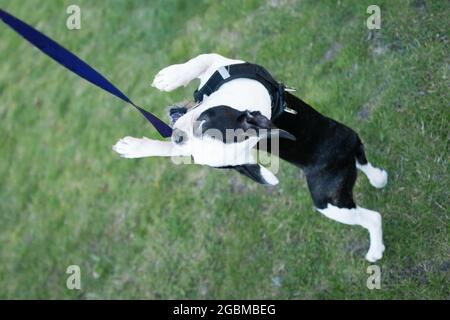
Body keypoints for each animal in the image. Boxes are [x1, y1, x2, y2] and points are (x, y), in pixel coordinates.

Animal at [112, 53, 386, 262]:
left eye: (204, 124)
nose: (178, 136)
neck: (241, 102)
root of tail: (345, 147)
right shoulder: (219, 63)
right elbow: (199, 60)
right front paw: (171, 79)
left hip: (329, 203)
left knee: (372, 217)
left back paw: (375, 249)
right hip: (351, 152)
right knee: (364, 161)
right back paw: (378, 178)